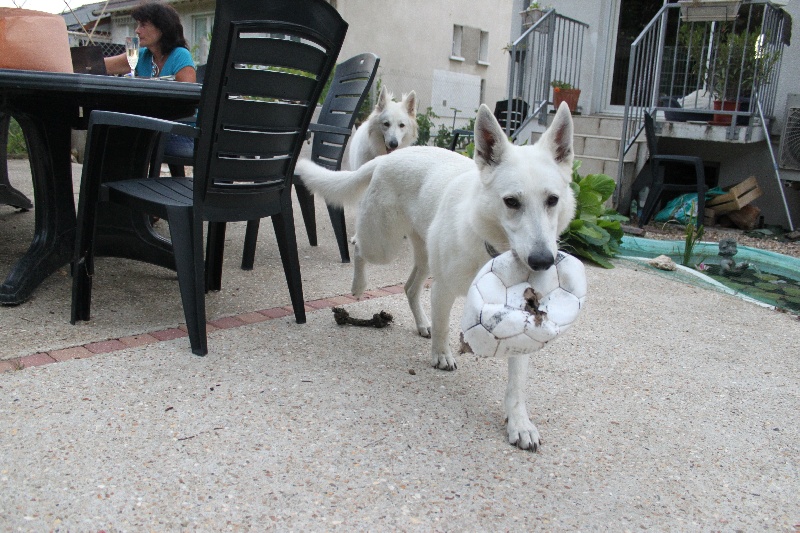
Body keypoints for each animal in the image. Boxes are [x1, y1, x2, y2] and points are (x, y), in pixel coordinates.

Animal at [296, 101, 580, 448]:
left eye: (552, 200)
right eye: (511, 202)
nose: (542, 261)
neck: (490, 248)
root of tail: (388, 157)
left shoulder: (520, 322)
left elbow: (516, 382)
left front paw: (519, 423)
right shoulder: (444, 289)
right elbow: (445, 327)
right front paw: (441, 355)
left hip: (423, 256)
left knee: (409, 287)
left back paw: (421, 323)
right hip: (384, 245)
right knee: (359, 247)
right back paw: (359, 285)